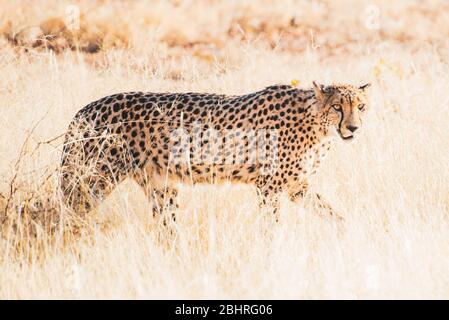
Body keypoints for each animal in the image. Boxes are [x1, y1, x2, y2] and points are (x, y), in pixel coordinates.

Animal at [61, 81, 370, 219]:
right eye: (337, 107)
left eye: (361, 106)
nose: (353, 128)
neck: (316, 126)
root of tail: (87, 108)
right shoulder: (268, 186)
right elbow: (271, 225)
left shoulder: (297, 186)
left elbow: (331, 212)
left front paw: (347, 232)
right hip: (95, 180)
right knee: (67, 213)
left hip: (160, 185)